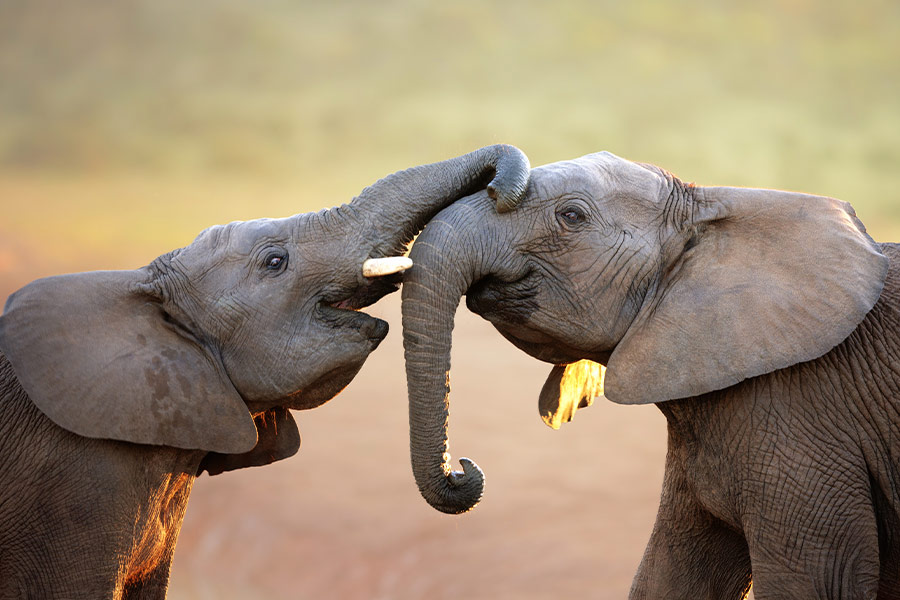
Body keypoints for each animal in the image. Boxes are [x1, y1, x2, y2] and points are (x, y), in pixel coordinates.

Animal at [400, 151, 900, 599]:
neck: (711, 209)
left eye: (571, 216)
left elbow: (814, 581)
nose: (462, 470)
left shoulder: (803, 416)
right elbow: (669, 575)